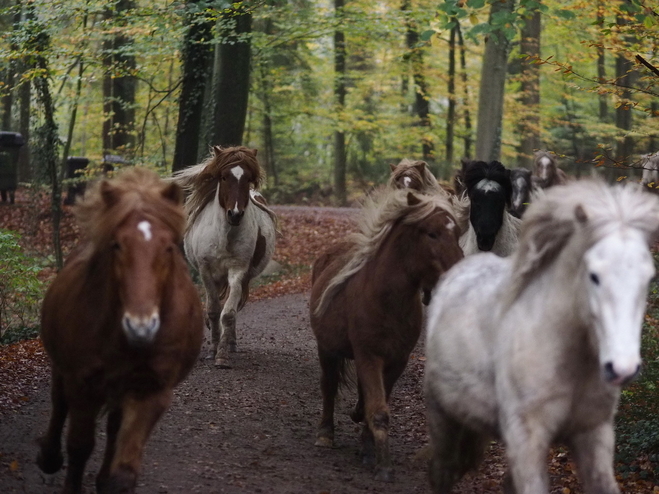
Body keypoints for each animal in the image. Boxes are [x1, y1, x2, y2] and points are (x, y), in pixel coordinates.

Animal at [38, 168, 204, 492]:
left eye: (169, 247)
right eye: (116, 245)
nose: (141, 327)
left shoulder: (151, 390)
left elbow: (123, 473)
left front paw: (109, 480)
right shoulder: (83, 385)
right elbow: (79, 447)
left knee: (114, 426)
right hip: (64, 371)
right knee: (58, 402)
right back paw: (48, 457)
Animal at [171, 145, 278, 368]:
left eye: (248, 178)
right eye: (223, 177)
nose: (235, 214)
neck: (225, 235)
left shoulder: (238, 270)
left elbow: (228, 313)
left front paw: (222, 355)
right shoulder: (205, 270)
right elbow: (213, 310)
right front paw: (212, 350)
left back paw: (231, 343)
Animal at [310, 188, 462, 482]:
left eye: (458, 233)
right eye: (432, 233)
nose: (460, 273)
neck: (387, 300)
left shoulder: (395, 361)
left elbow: (377, 403)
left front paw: (368, 449)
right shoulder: (369, 355)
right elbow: (378, 409)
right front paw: (383, 466)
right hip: (328, 350)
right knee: (329, 386)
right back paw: (324, 434)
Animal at [422, 180, 659, 494]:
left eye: (648, 278)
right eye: (594, 275)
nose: (622, 368)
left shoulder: (593, 434)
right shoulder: (527, 438)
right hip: (443, 419)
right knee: (442, 473)